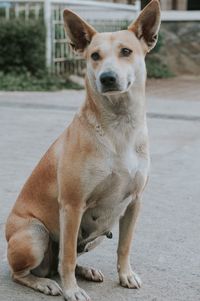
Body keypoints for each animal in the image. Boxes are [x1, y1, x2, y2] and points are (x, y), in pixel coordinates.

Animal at [4, 1, 161, 298]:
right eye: (95, 56)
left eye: (126, 51)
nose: (107, 78)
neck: (118, 127)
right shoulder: (72, 205)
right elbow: (66, 256)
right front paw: (71, 291)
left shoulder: (135, 202)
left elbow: (124, 246)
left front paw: (125, 275)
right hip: (35, 234)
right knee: (24, 272)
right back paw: (45, 283)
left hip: (94, 234)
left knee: (64, 260)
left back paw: (85, 270)